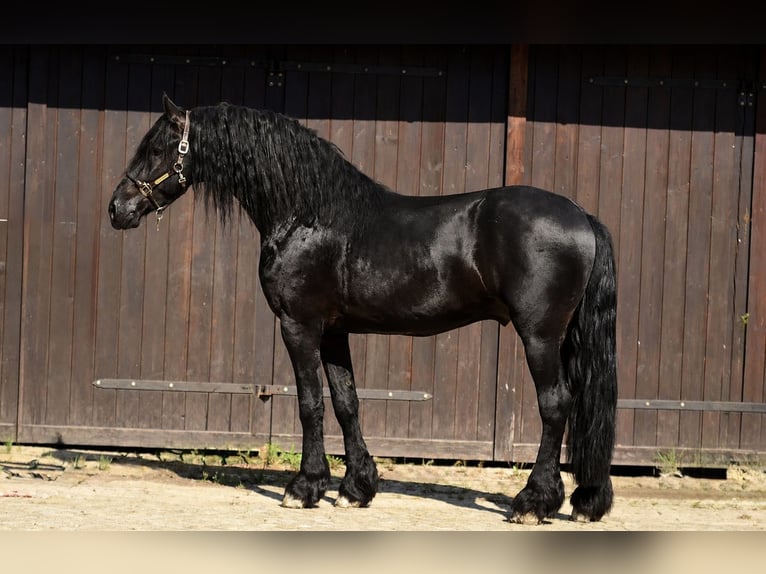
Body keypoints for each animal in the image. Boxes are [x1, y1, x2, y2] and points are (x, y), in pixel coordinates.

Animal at [108, 93, 618, 524]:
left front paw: (305, 487)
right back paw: (585, 501)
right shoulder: (335, 332)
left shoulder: (299, 326)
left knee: (555, 405)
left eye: (157, 149)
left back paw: (533, 502)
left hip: (540, 335)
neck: (307, 215)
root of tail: (580, 215)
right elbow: (346, 402)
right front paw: (356, 488)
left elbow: (310, 404)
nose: (117, 209)